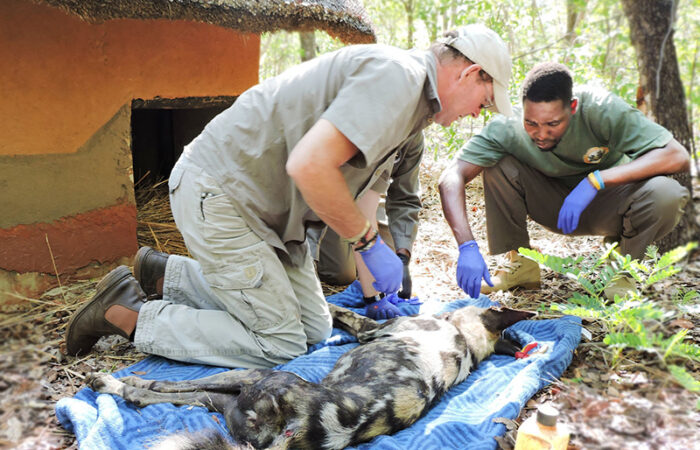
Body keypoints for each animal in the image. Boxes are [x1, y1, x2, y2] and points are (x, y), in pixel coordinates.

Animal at [89, 304, 536, 448]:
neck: (465, 344)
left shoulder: (368, 329)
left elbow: (336, 309)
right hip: (231, 401)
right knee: (186, 394)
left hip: (253, 376)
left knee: (169, 387)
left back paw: (118, 383)